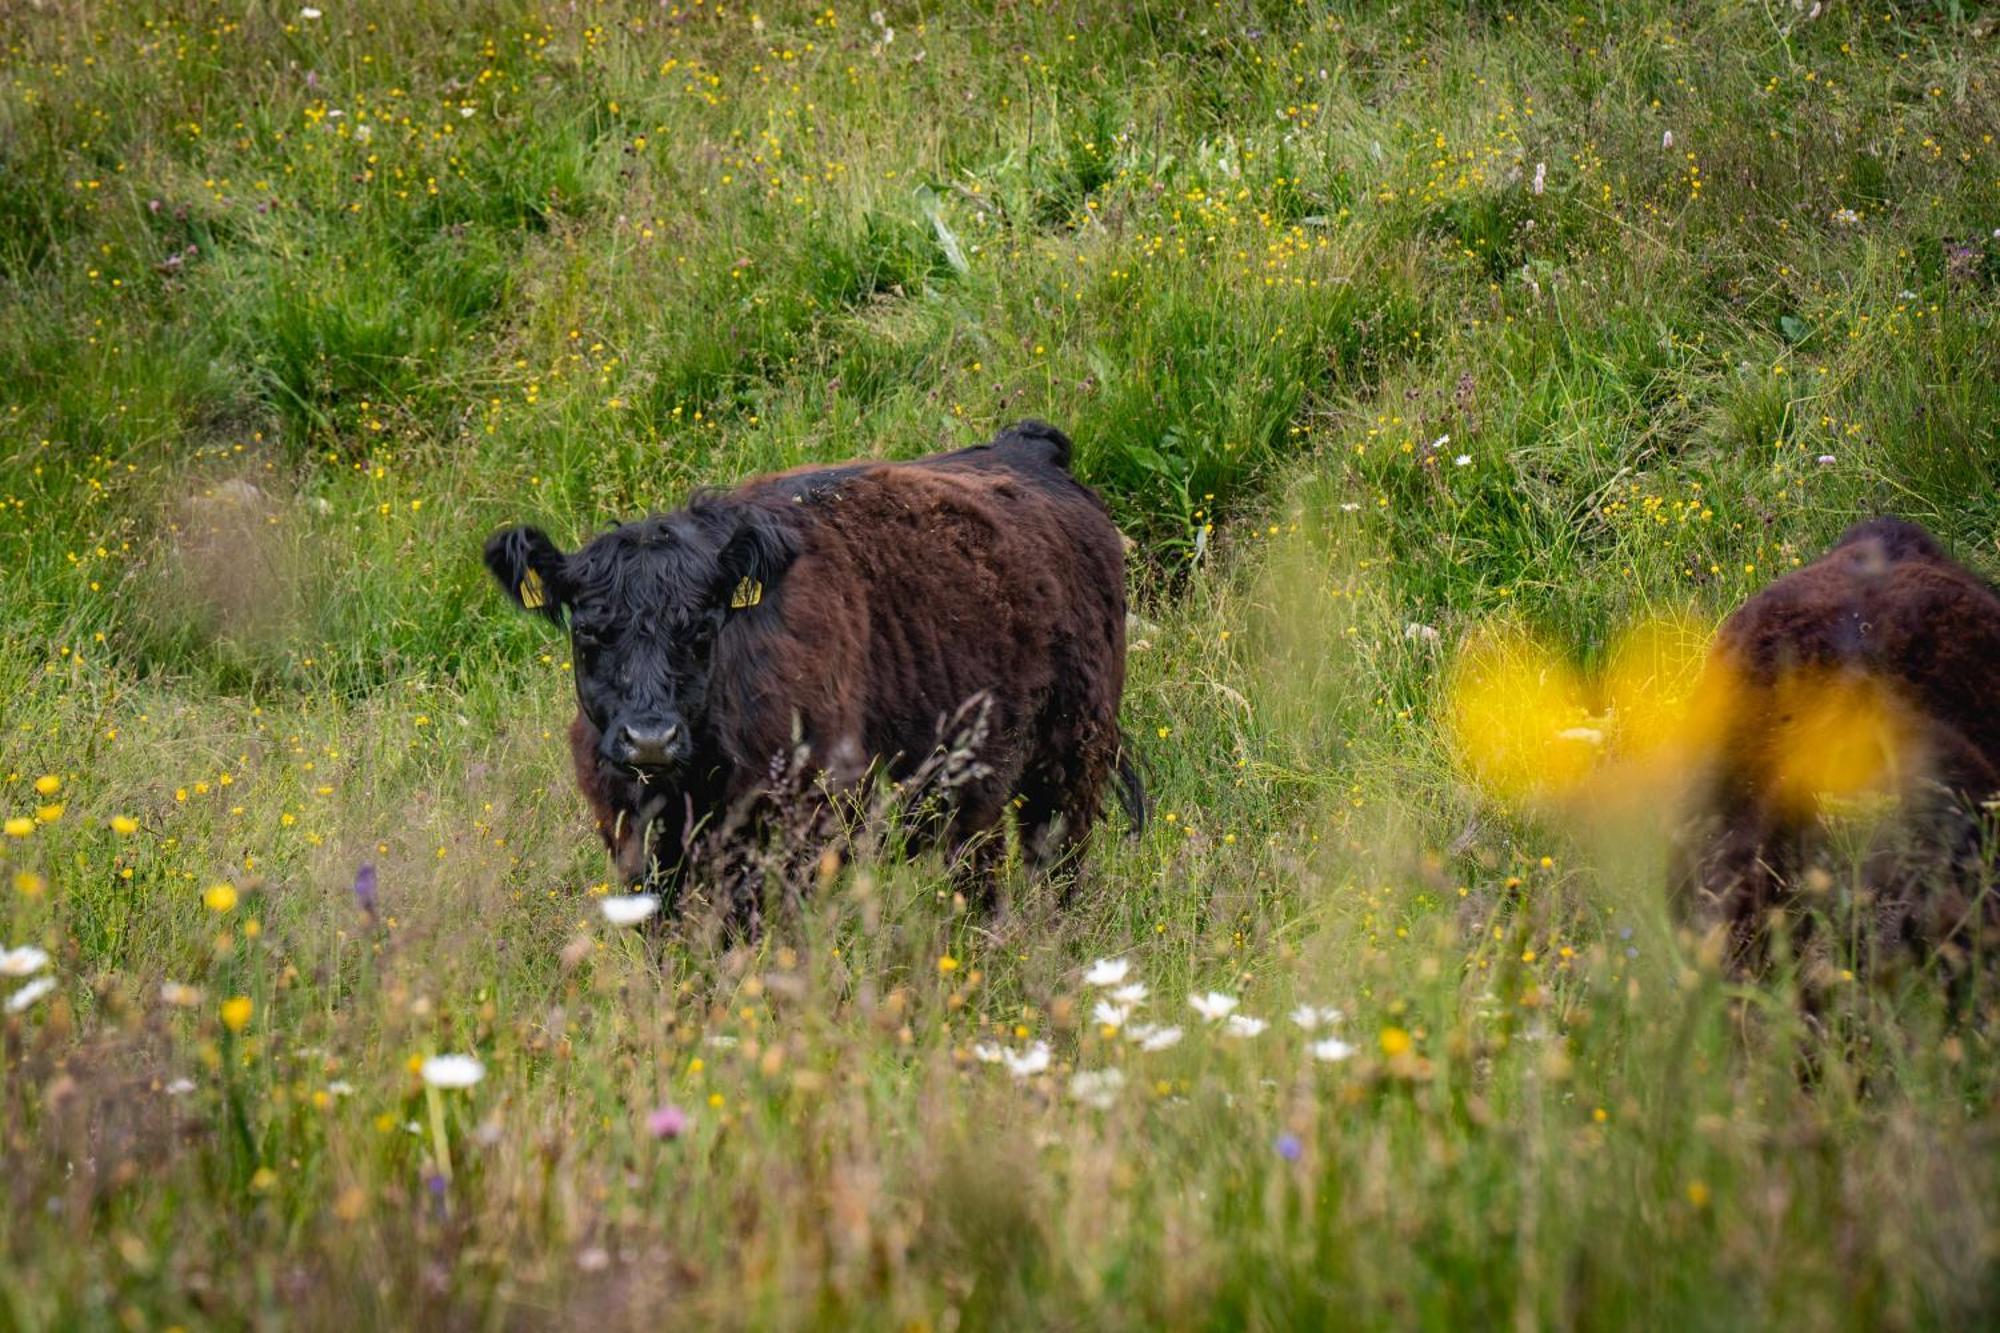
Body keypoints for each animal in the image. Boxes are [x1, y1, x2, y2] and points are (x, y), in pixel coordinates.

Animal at [480, 418, 1144, 924]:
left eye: (702, 630)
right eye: (588, 632)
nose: (650, 739)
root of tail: (1028, 449)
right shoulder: (637, 837)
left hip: (1072, 754)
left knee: (1053, 862)